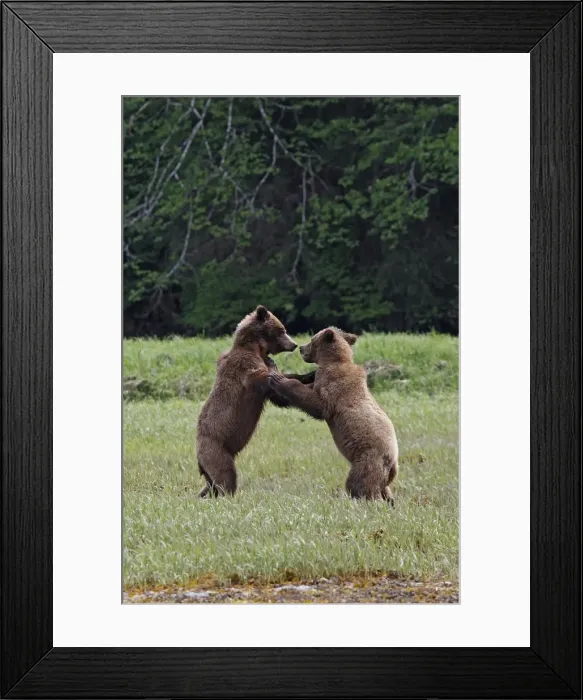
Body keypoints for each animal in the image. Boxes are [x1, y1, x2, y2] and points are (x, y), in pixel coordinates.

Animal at [196, 305, 316, 497]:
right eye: (282, 330)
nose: (294, 344)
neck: (257, 348)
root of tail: (198, 457)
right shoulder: (245, 368)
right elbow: (263, 379)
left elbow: (278, 395)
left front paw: (309, 377)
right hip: (216, 451)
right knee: (226, 476)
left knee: (211, 485)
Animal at [268, 327, 399, 504]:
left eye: (311, 339)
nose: (301, 348)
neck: (332, 362)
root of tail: (393, 465)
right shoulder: (320, 381)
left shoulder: (334, 387)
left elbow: (318, 405)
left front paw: (278, 378)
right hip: (381, 473)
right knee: (385, 490)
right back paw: (390, 501)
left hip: (368, 459)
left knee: (359, 483)